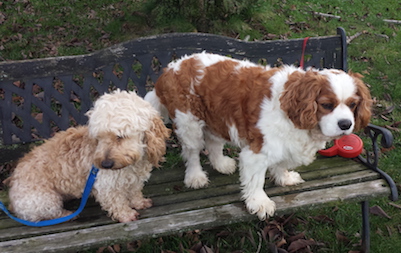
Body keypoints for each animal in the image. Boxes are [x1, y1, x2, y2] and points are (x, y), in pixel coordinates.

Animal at [145, 52, 372, 219]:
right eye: (326, 105)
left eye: (353, 104)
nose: (346, 124)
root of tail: (169, 69)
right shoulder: (258, 152)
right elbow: (256, 180)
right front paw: (259, 202)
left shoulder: (286, 144)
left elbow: (281, 164)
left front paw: (284, 178)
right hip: (189, 122)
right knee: (191, 152)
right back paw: (195, 177)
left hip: (217, 117)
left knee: (213, 142)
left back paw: (221, 164)